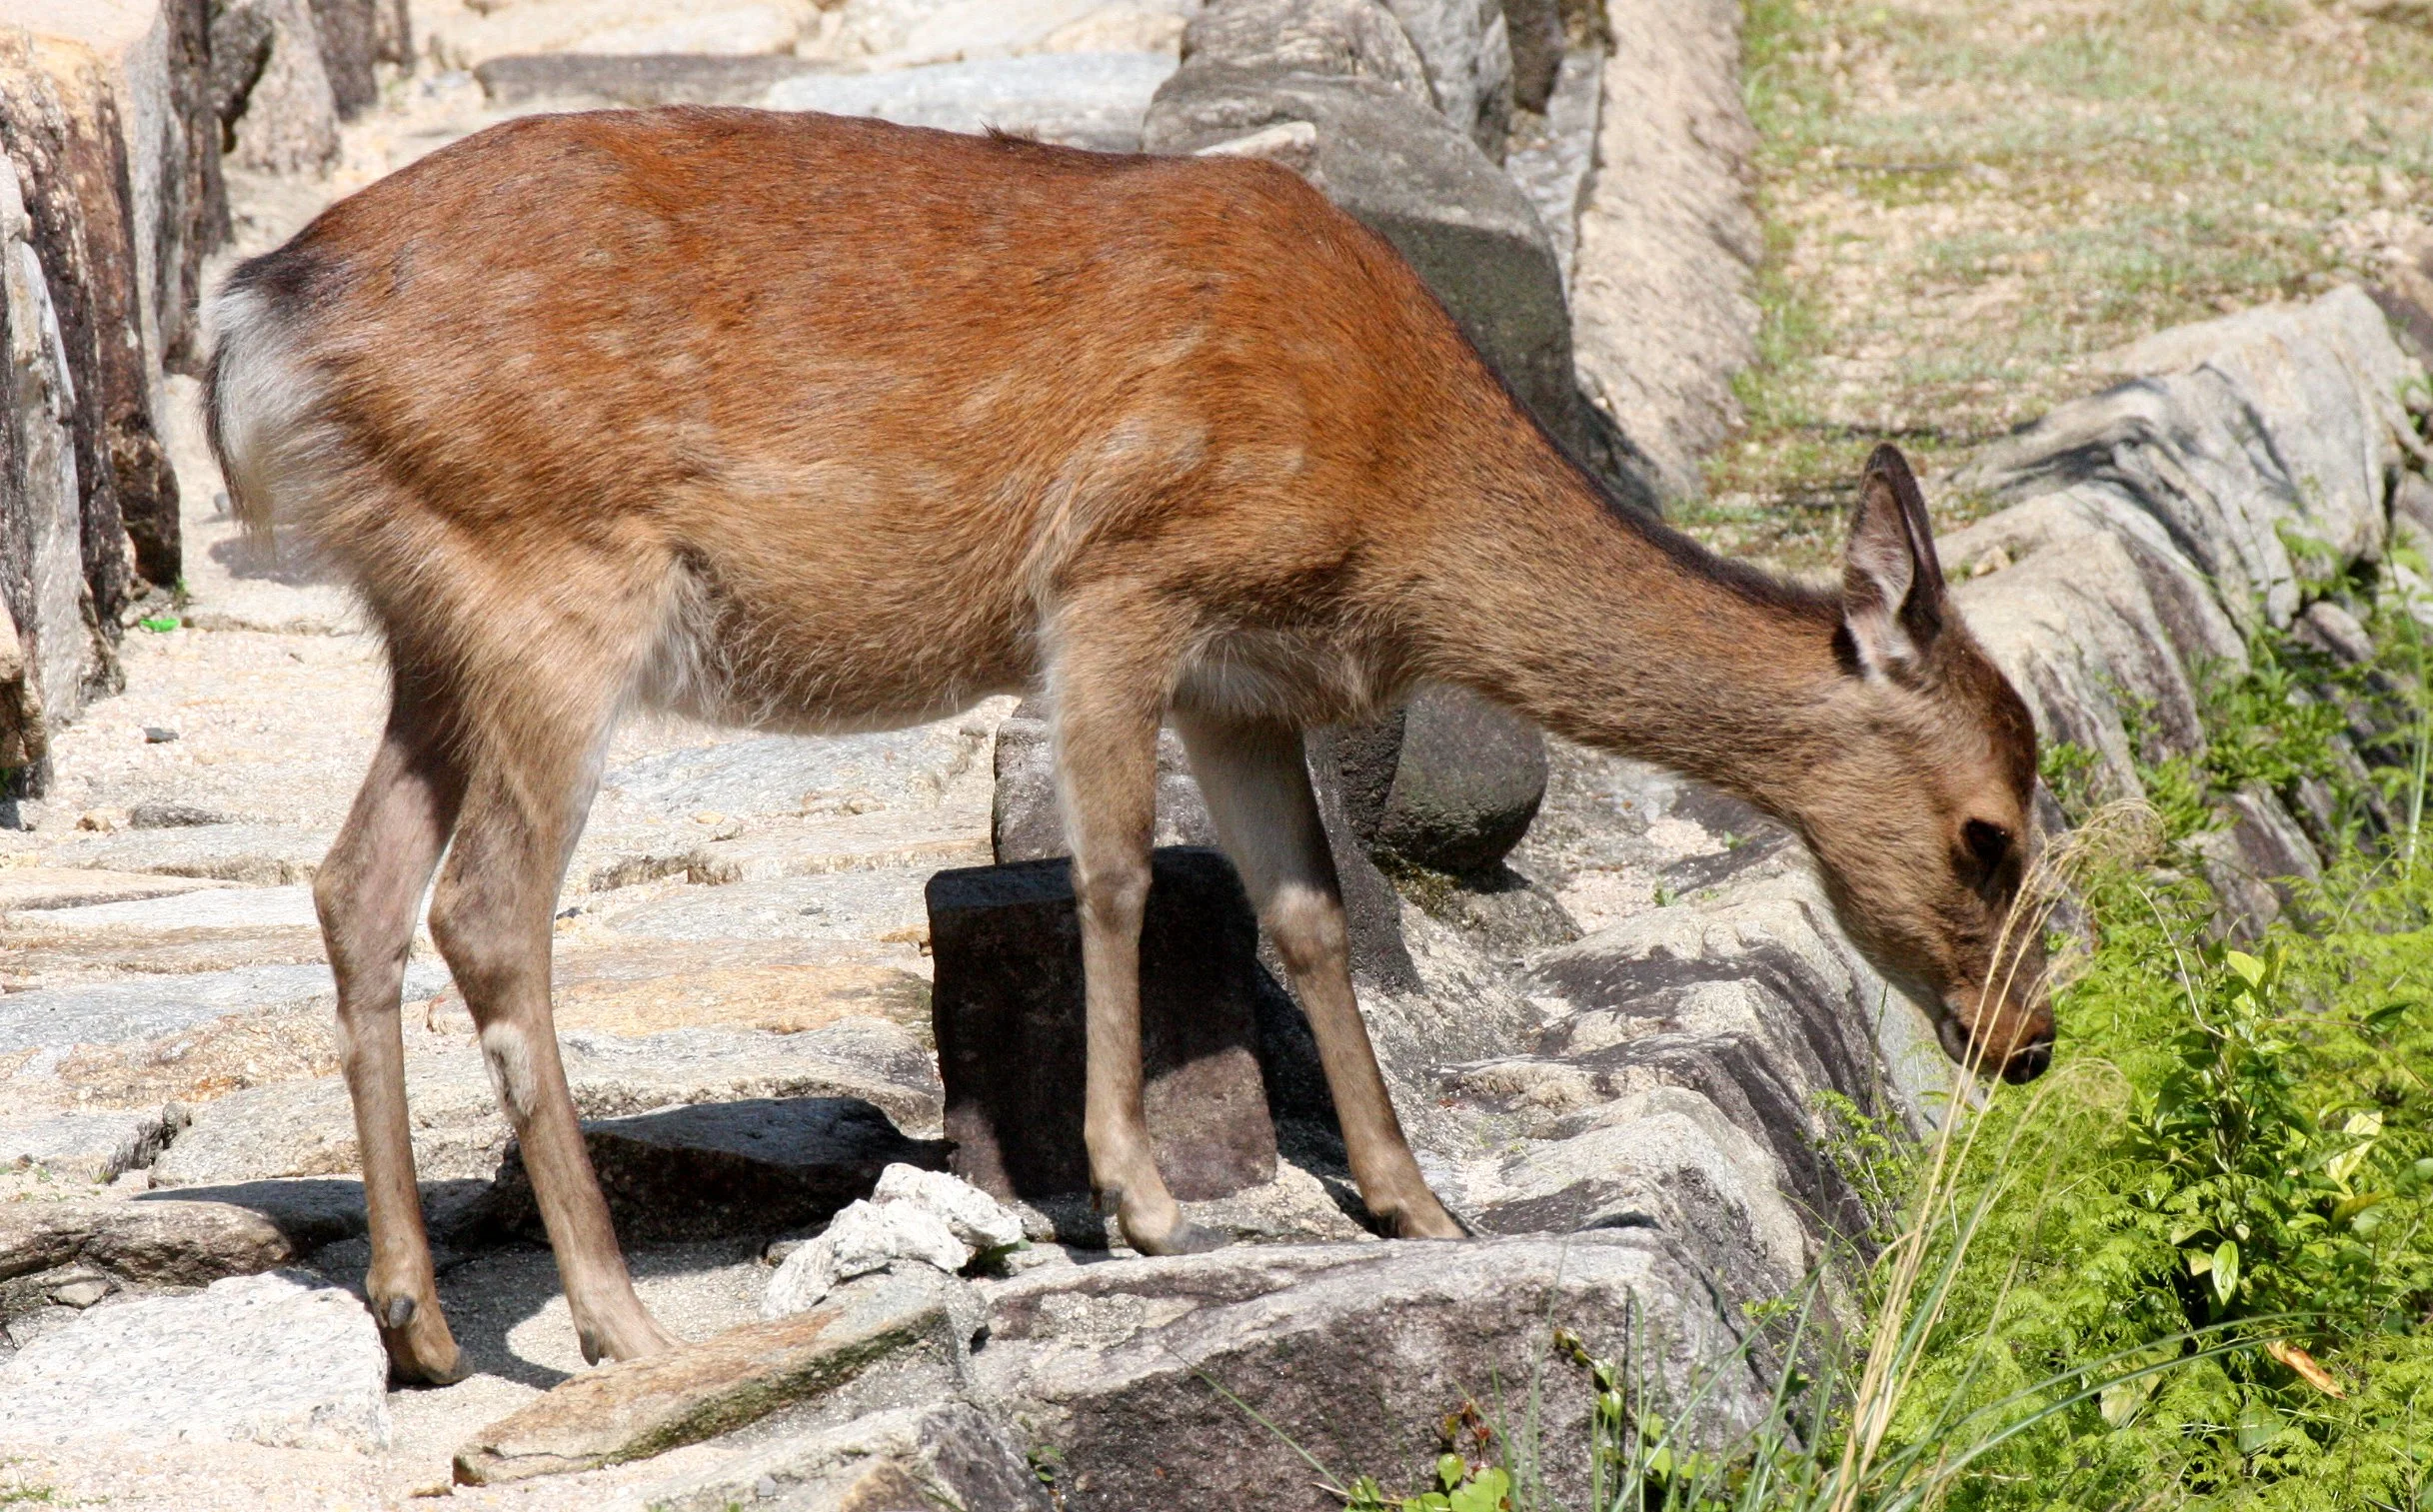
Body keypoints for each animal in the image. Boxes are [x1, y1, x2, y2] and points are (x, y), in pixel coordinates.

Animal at [204, 106, 2052, 1385]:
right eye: (1989, 830)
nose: (2026, 1043)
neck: (1395, 491)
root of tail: (250, 322)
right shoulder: (1119, 577)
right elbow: (1103, 871)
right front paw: (1140, 1199)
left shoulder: (1242, 678)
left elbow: (1304, 911)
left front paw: (1415, 1202)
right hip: (551, 580)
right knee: (483, 908)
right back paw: (616, 1322)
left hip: (429, 613)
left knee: (351, 881)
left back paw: (421, 1321)